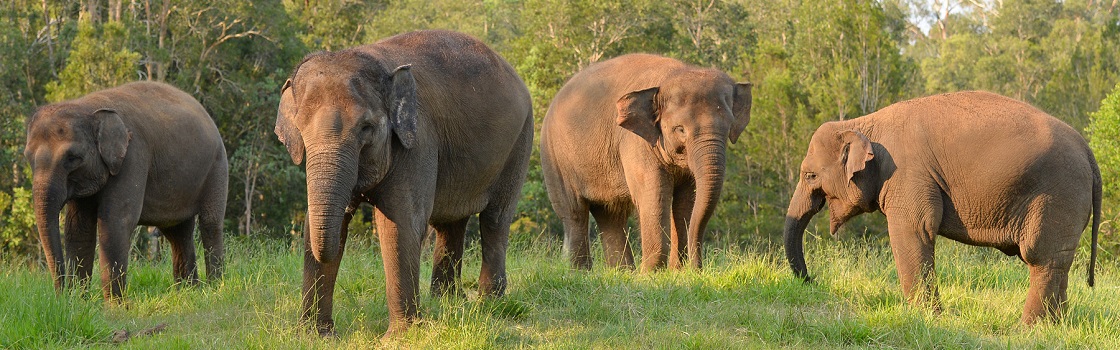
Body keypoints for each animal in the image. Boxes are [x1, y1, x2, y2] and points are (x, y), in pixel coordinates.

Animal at [24, 81, 227, 300]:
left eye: (72, 158)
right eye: (28, 158)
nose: (62, 295)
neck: (87, 107)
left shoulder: (133, 156)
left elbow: (116, 222)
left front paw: (114, 305)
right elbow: (78, 228)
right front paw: (80, 301)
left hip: (217, 165)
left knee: (210, 223)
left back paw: (215, 288)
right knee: (178, 232)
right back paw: (189, 291)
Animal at [273, 29, 530, 336]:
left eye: (366, 127)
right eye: (300, 129)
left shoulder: (418, 141)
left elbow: (400, 224)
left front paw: (399, 336)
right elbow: (316, 225)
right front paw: (316, 336)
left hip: (520, 140)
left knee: (495, 219)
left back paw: (489, 303)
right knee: (450, 224)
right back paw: (447, 302)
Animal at [539, 53, 752, 272]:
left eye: (728, 128)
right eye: (680, 129)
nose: (697, 268)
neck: (671, 76)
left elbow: (686, 200)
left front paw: (677, 272)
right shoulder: (635, 142)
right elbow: (653, 196)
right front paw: (651, 274)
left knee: (610, 215)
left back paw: (622, 272)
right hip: (554, 158)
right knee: (574, 212)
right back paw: (580, 272)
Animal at [788, 90, 1102, 325]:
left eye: (809, 175)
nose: (812, 280)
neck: (865, 123)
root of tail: (1089, 152)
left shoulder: (908, 175)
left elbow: (914, 230)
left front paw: (926, 318)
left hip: (1058, 195)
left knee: (1042, 258)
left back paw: (1028, 330)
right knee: (1059, 260)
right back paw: (1057, 327)